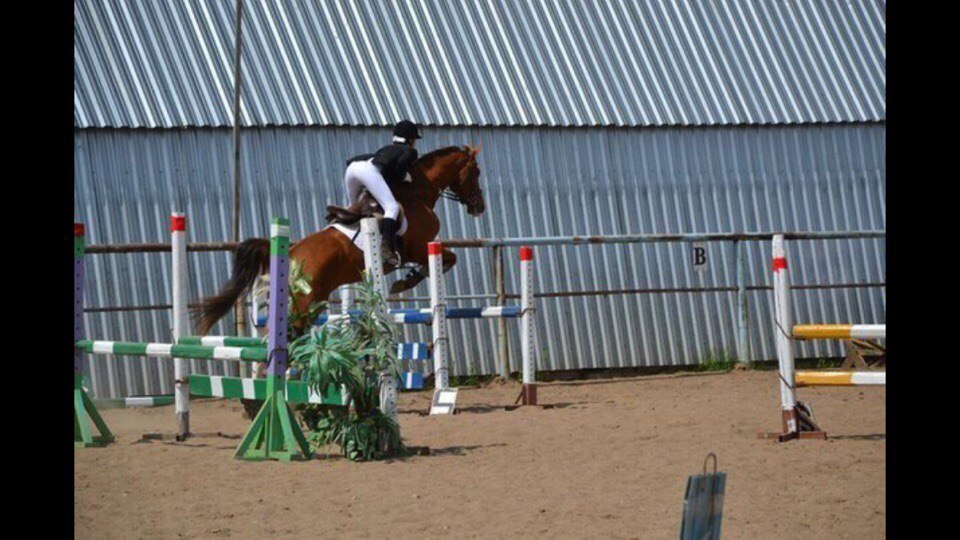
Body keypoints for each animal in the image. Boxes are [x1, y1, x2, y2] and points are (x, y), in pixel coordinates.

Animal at [193, 145, 484, 335]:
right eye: (476, 172)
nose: (479, 206)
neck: (418, 193)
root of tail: (293, 251)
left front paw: (407, 279)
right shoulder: (418, 248)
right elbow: (449, 258)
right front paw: (407, 281)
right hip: (303, 304)